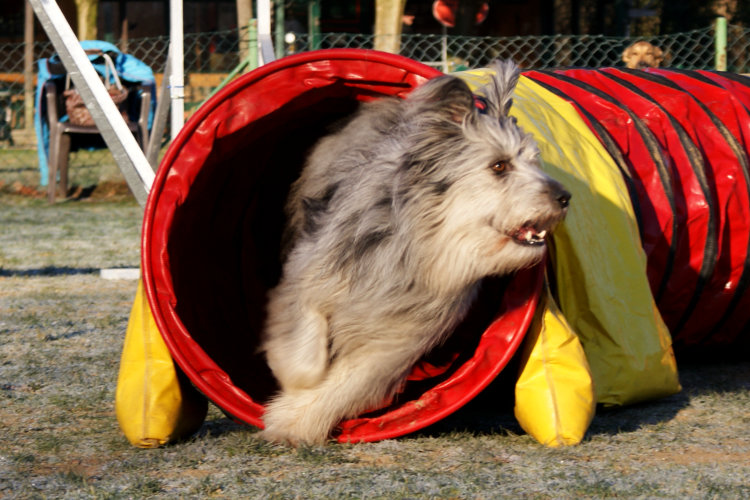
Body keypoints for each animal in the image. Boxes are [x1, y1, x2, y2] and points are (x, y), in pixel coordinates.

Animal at [258, 59, 568, 446]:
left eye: (534, 162)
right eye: (499, 166)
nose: (564, 197)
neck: (419, 248)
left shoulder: (396, 339)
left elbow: (348, 382)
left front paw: (295, 420)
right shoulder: (309, 273)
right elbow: (304, 340)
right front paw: (296, 380)